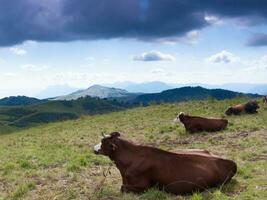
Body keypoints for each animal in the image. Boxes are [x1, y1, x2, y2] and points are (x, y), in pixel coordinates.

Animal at [93, 132, 237, 195]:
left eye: (103, 142)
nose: (94, 149)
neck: (124, 168)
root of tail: (230, 162)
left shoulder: (144, 185)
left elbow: (122, 188)